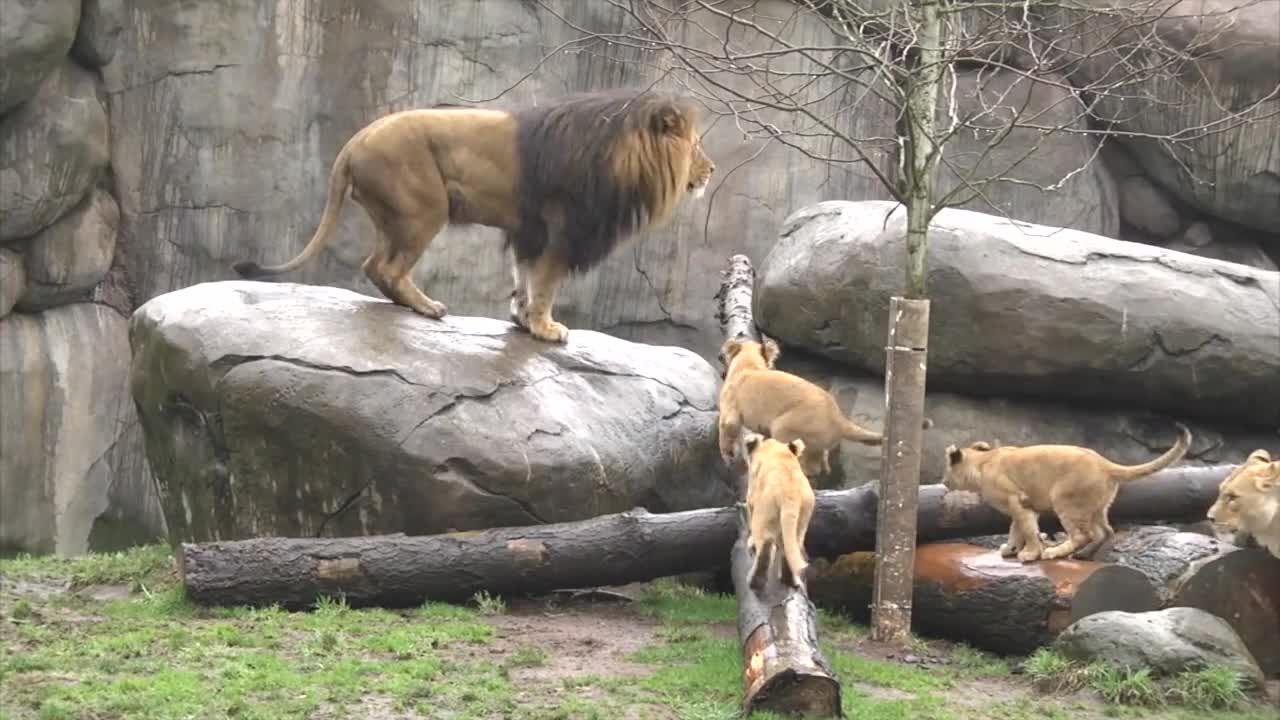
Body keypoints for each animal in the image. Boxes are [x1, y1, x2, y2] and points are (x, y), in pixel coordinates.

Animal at [230, 89, 711, 340]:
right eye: (695, 146)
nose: (711, 170)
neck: (622, 155)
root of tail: (353, 143)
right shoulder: (559, 230)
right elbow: (545, 284)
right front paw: (547, 327)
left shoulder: (529, 230)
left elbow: (524, 278)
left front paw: (521, 319)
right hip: (424, 209)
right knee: (388, 268)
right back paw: (427, 307)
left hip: (396, 214)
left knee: (373, 265)